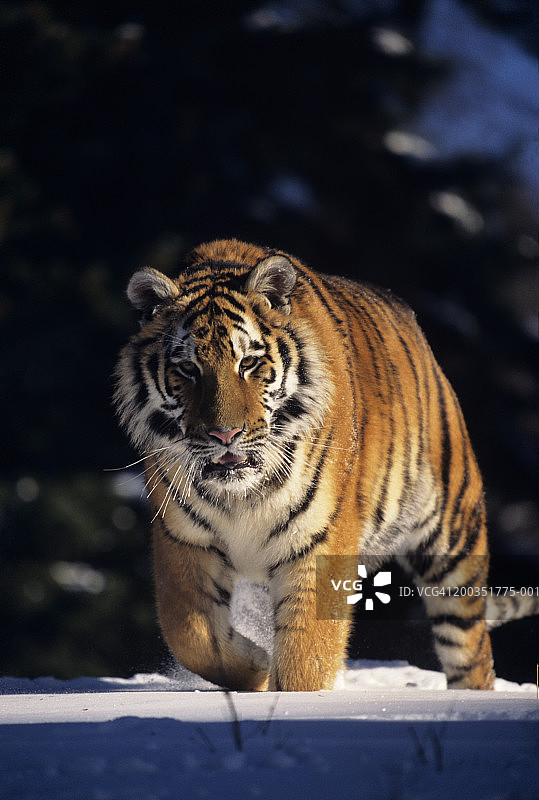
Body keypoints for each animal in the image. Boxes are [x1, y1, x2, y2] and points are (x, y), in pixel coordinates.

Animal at [114, 238, 538, 691]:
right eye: (188, 369)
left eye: (248, 363)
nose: (224, 435)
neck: (240, 493)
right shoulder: (184, 539)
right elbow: (190, 634)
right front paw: (257, 666)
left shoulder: (318, 541)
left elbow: (307, 654)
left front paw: (294, 695)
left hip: (453, 540)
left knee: (471, 650)